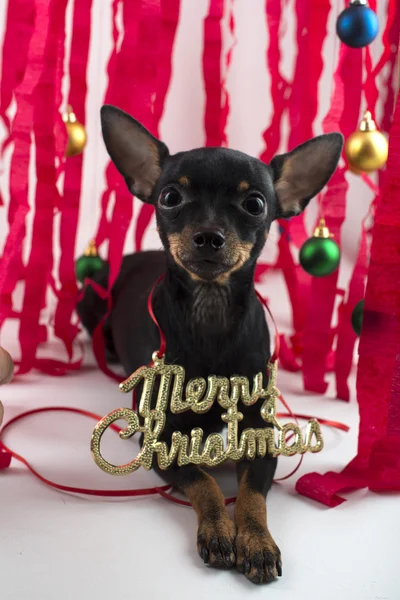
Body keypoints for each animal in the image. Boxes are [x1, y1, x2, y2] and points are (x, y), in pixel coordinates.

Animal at [77, 105, 340, 584]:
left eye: (255, 204)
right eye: (170, 198)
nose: (208, 235)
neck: (211, 311)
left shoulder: (260, 439)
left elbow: (252, 498)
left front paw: (255, 541)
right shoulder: (163, 443)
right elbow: (205, 482)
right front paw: (218, 531)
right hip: (89, 294)